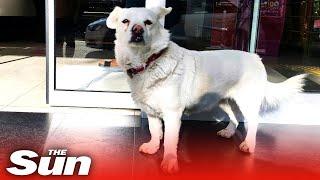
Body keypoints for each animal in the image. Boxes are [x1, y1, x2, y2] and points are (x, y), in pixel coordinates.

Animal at [107, 6, 304, 173]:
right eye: (125, 21)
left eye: (148, 22)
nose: (137, 30)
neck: (149, 61)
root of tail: (256, 58)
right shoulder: (152, 112)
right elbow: (155, 132)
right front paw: (153, 147)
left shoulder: (172, 113)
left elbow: (170, 141)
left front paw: (169, 162)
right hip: (224, 100)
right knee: (235, 117)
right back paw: (228, 132)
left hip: (246, 101)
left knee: (254, 122)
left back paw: (248, 145)